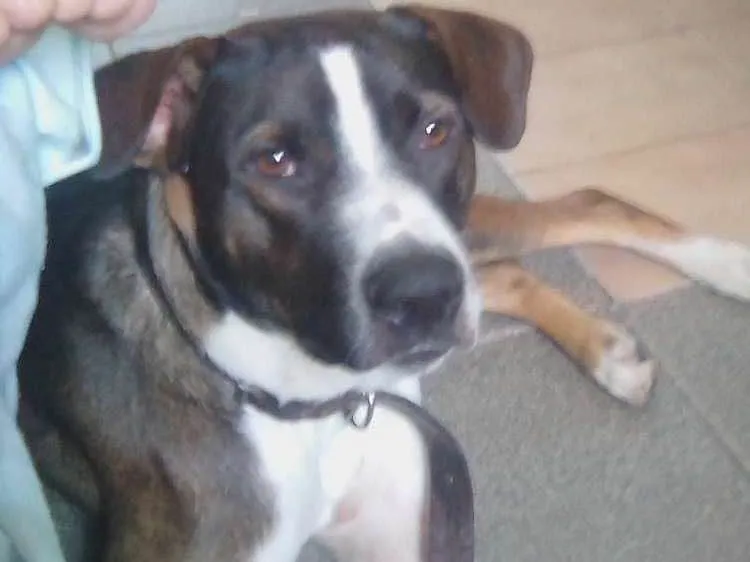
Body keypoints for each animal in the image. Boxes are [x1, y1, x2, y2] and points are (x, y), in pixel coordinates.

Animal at [17, 4, 750, 562]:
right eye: (274, 160)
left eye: (434, 129)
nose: (424, 293)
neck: (312, 403)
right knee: (512, 269)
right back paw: (611, 349)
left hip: (465, 232)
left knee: (585, 205)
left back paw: (722, 267)